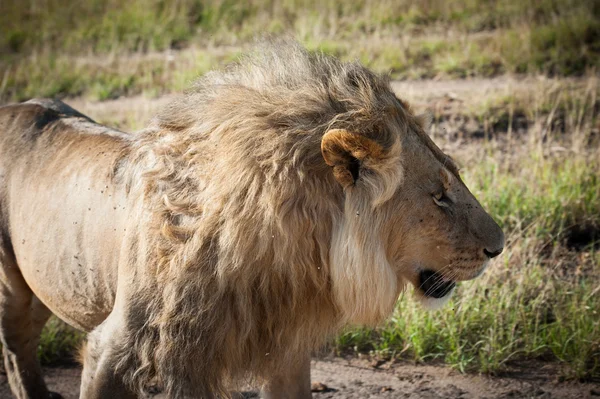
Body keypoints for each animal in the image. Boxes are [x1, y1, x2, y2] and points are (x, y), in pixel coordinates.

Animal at [0, 39, 504, 398]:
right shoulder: (116, 350)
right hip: (14, 285)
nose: (498, 248)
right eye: (439, 196)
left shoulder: (283, 353)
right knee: (16, 345)